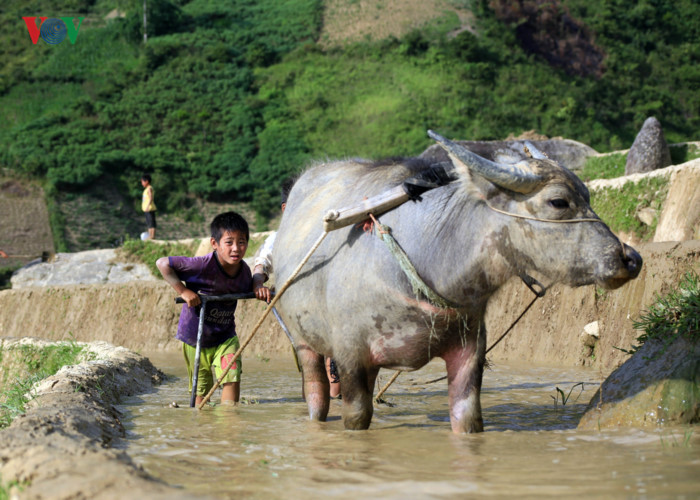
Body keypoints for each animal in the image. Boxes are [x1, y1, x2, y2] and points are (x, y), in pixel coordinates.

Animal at [270, 131, 644, 432]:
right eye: (558, 202)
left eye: (588, 197)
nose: (630, 259)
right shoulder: (350, 357)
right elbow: (356, 416)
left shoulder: (469, 350)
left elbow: (468, 418)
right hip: (303, 342)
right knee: (316, 395)